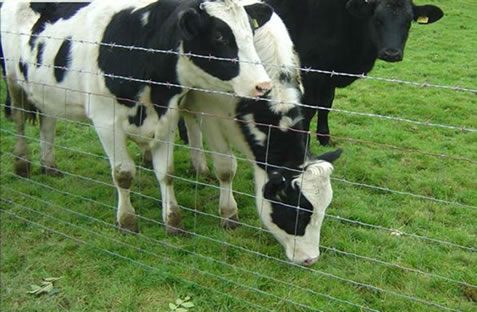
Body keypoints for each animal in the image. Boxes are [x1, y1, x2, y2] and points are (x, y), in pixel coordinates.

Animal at [1, 0, 274, 234]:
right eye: (219, 36)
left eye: (251, 33)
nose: (263, 85)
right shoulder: (105, 122)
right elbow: (123, 174)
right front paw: (127, 220)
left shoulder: (167, 119)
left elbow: (166, 173)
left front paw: (173, 220)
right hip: (13, 81)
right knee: (19, 120)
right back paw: (22, 163)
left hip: (45, 89)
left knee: (48, 124)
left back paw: (49, 165)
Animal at [180, 8, 340, 264]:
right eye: (294, 212)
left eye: (323, 209)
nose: (311, 259)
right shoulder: (211, 111)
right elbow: (225, 168)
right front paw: (229, 213)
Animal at [264, 0, 442, 145]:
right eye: (377, 20)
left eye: (408, 22)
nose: (392, 53)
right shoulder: (311, 71)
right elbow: (309, 109)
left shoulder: (330, 73)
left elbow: (326, 104)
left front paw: (324, 138)